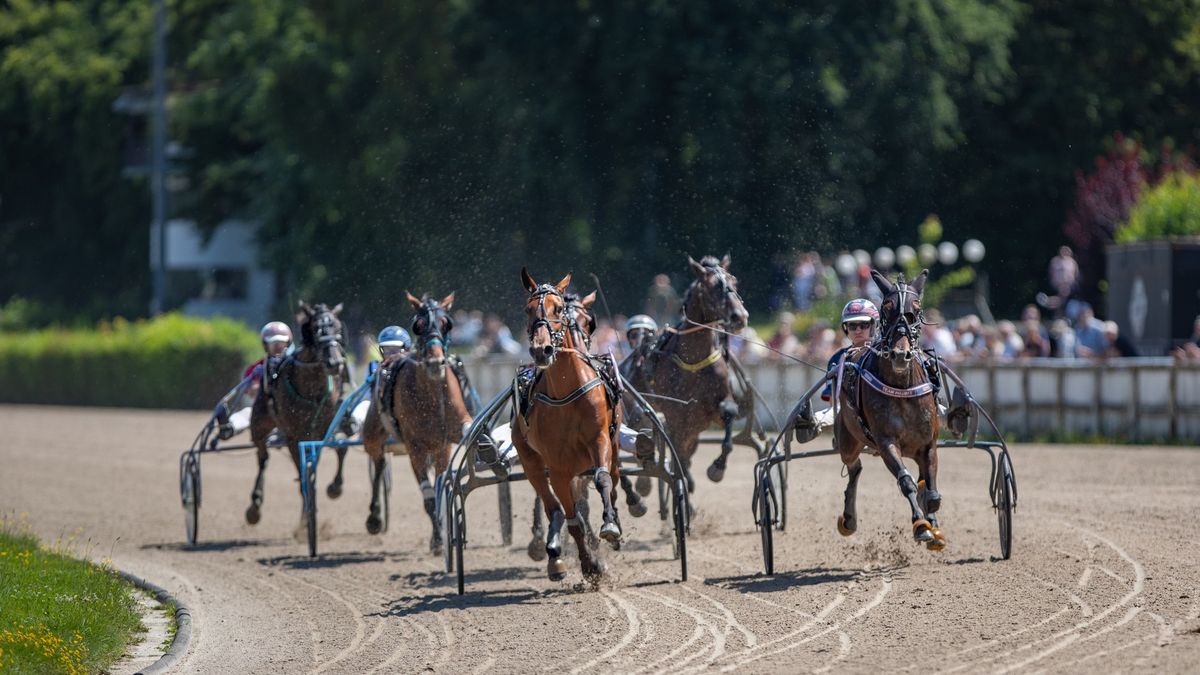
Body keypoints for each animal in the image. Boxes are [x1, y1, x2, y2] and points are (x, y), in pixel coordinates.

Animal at [246, 299, 350, 526]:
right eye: (316, 329)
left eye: (338, 328)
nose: (335, 363)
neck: (311, 388)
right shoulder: (294, 437)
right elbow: (303, 473)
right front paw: (307, 517)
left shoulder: (325, 428)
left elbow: (340, 449)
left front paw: (335, 487)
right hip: (260, 423)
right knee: (263, 457)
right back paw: (255, 506)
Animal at [360, 290, 468, 552]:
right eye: (418, 325)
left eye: (446, 323)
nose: (435, 363)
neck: (432, 393)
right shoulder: (415, 448)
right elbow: (429, 498)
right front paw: (438, 540)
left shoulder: (448, 440)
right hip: (373, 434)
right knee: (378, 463)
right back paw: (374, 518)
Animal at [511, 267, 624, 578]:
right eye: (527, 310)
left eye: (558, 309)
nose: (542, 350)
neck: (567, 391)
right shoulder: (558, 467)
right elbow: (572, 519)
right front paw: (589, 565)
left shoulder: (600, 441)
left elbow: (602, 479)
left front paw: (610, 526)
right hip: (531, 461)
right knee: (553, 506)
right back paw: (554, 555)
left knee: (612, 481)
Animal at [643, 254, 744, 492]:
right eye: (713, 286)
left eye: (734, 282)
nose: (740, 316)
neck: (694, 362)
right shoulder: (676, 415)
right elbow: (677, 450)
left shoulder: (714, 409)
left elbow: (729, 414)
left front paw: (717, 468)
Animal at [835, 266, 945, 547]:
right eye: (886, 307)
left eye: (916, 309)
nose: (900, 354)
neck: (902, 387)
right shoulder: (885, 442)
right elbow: (906, 482)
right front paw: (921, 526)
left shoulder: (928, 443)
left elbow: (931, 492)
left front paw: (933, 524)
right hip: (848, 440)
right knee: (854, 466)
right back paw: (848, 519)